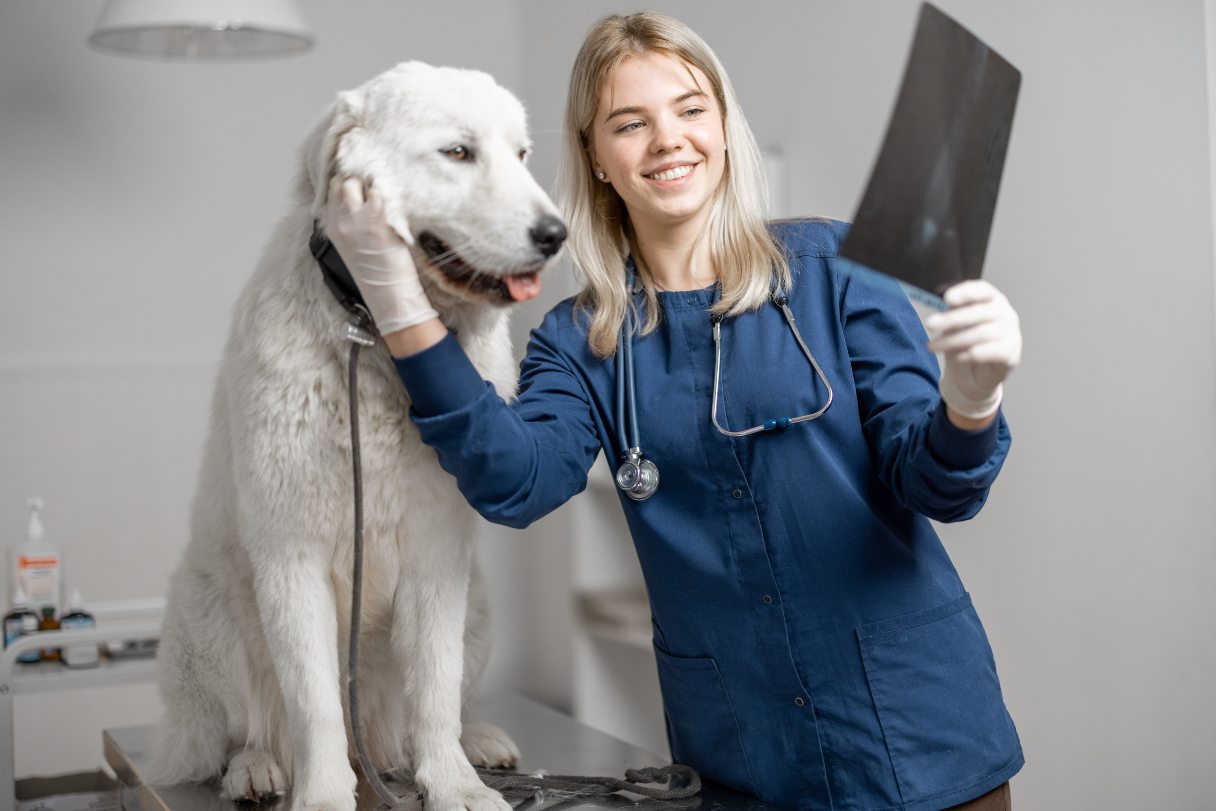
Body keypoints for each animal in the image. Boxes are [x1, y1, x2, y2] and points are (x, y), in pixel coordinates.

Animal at [150, 62, 564, 811]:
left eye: (521, 155)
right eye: (458, 152)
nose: (556, 233)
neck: (373, 339)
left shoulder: (438, 553)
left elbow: (434, 686)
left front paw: (453, 782)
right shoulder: (291, 557)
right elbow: (313, 700)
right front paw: (321, 794)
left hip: (478, 603)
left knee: (432, 711)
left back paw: (471, 743)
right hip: (208, 610)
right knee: (241, 728)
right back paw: (256, 768)